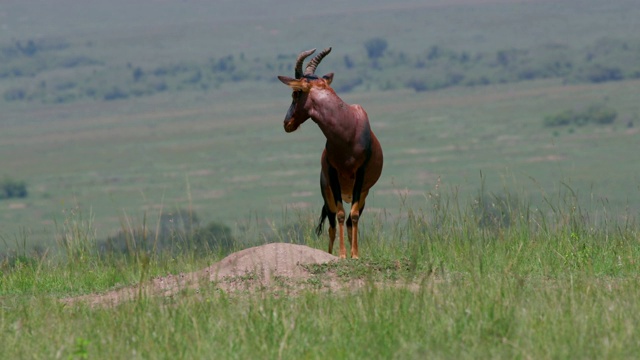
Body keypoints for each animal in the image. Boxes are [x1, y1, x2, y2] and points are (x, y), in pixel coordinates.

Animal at [278, 47, 382, 258]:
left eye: (296, 93)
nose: (287, 123)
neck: (347, 129)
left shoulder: (360, 174)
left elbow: (354, 216)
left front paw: (355, 255)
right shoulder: (333, 174)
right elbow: (340, 216)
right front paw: (341, 255)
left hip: (362, 193)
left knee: (351, 220)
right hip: (328, 193)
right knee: (333, 224)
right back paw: (331, 253)